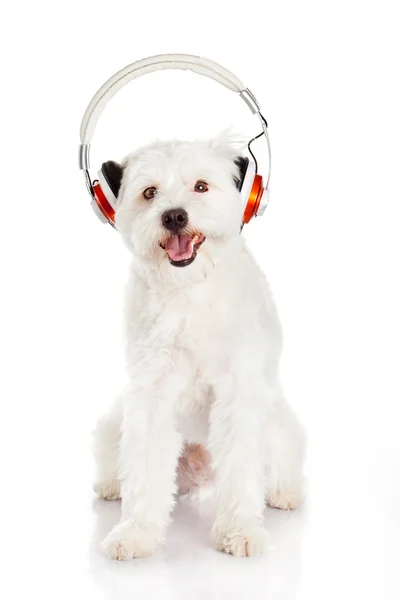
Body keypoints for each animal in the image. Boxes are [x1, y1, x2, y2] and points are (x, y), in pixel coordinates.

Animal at [93, 134, 306, 560]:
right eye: (150, 192)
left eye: (201, 186)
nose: (174, 216)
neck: (188, 289)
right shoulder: (150, 394)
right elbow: (143, 469)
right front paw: (136, 532)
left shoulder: (237, 394)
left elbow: (241, 469)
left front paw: (240, 530)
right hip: (114, 422)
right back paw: (112, 485)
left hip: (277, 423)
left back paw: (284, 493)